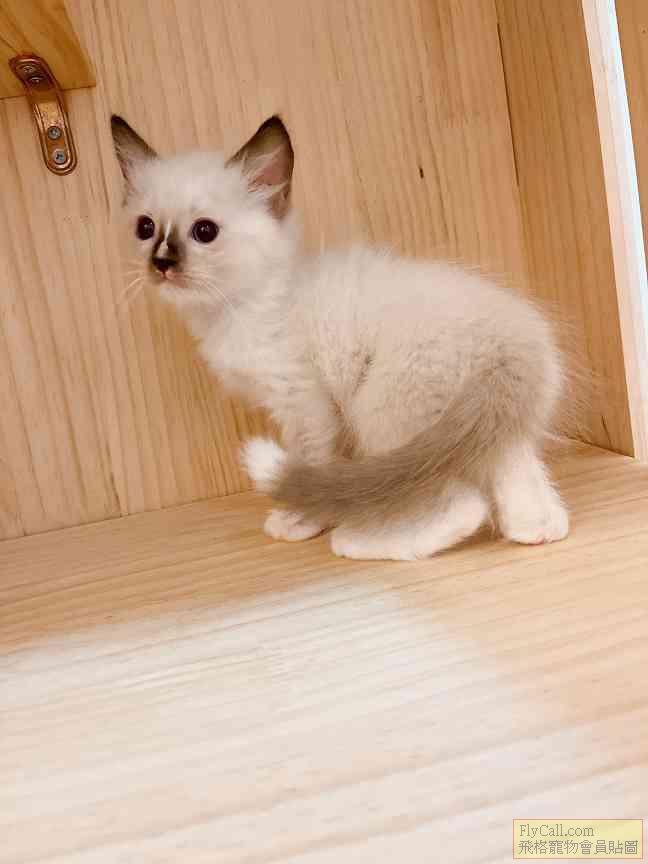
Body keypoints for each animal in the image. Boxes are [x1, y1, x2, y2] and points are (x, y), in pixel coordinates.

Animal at [111, 114, 569, 561]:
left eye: (204, 231)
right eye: (146, 228)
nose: (162, 263)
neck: (244, 303)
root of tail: (510, 342)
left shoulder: (302, 401)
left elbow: (309, 458)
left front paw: (299, 520)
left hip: (379, 410)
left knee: (461, 505)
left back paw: (359, 541)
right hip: (481, 427)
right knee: (523, 486)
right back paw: (534, 531)